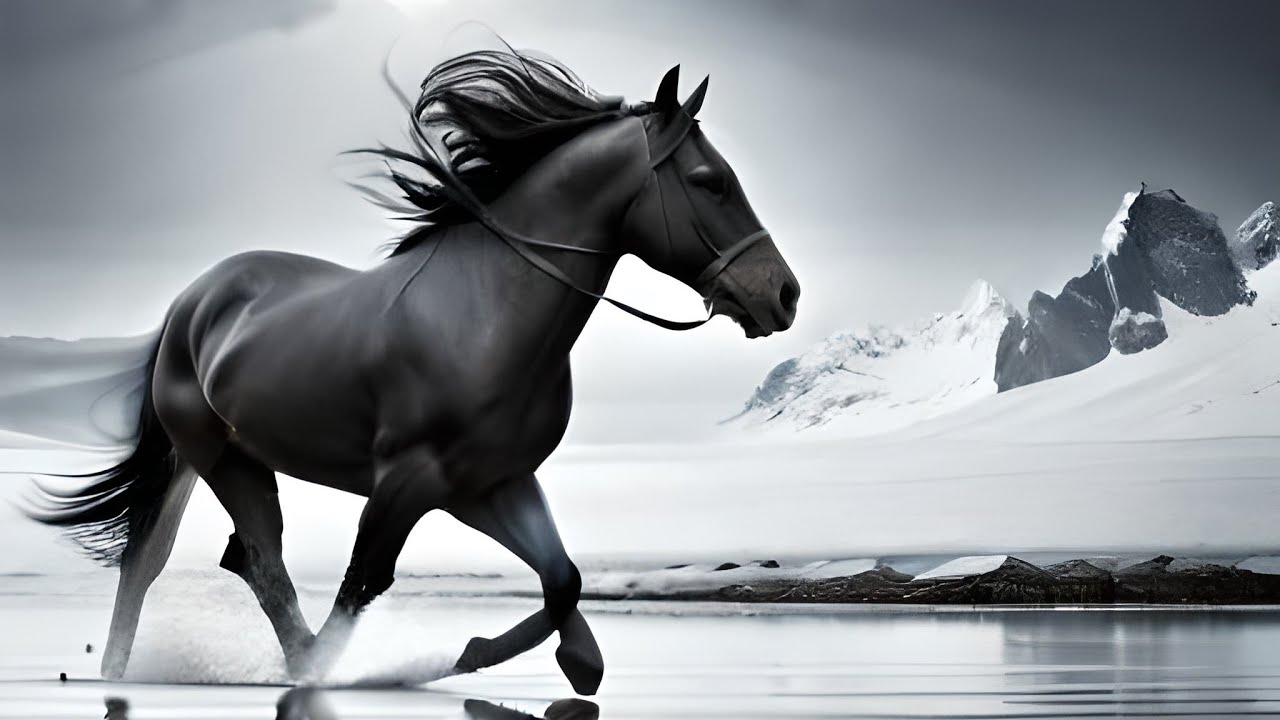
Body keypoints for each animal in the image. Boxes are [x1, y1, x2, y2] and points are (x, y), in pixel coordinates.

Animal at [22, 47, 799, 695]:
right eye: (709, 181)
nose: (782, 295)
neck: (488, 315)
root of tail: (193, 301)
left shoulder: (490, 484)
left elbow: (563, 581)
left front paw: (529, 657)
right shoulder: (405, 481)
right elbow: (364, 583)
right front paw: (397, 666)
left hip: (224, 462)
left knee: (194, 561)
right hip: (217, 459)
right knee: (225, 563)